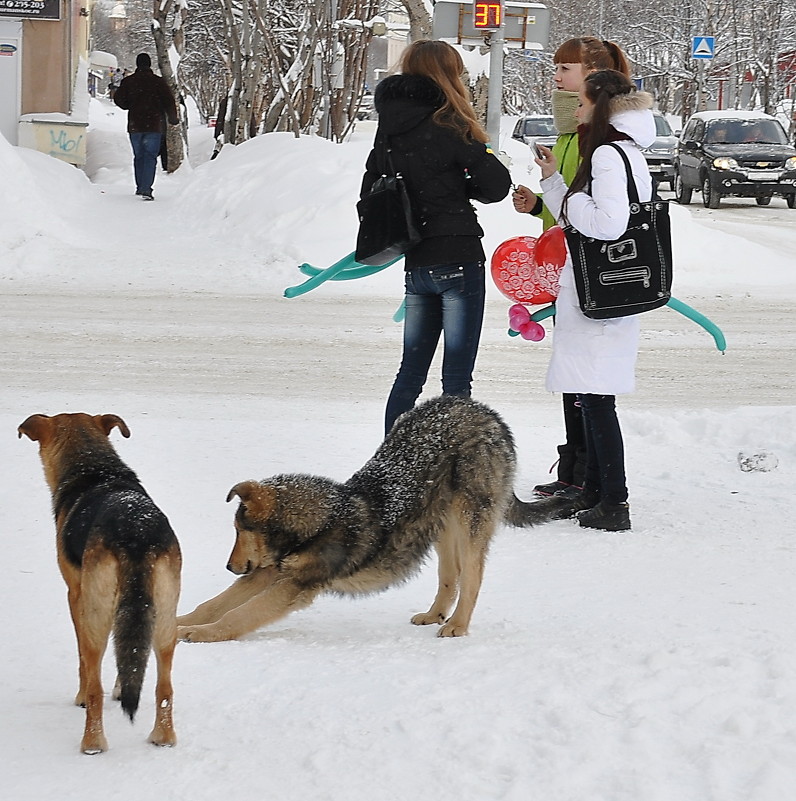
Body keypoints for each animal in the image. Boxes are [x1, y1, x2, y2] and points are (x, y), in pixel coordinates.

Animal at [19, 416, 182, 752]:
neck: (95, 469)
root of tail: (136, 532)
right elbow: (128, 655)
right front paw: (121, 689)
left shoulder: (76, 596)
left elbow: (83, 661)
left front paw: (81, 697)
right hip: (165, 618)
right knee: (165, 688)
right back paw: (163, 738)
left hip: (97, 614)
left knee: (95, 684)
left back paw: (92, 742)